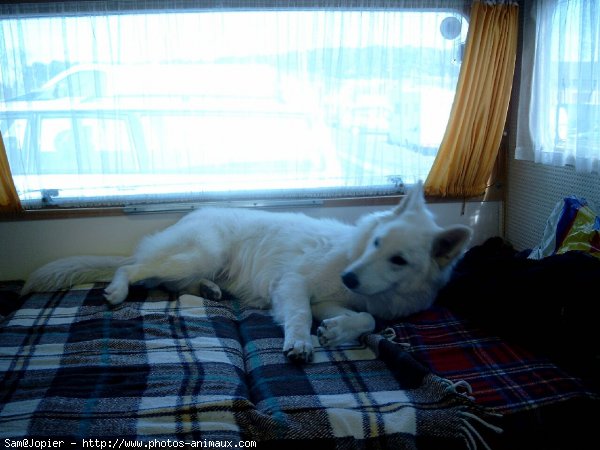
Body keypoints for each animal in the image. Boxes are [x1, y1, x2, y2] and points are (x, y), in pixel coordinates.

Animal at [22, 183, 468, 362]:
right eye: (377, 243)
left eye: (399, 259)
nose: (350, 278)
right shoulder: (294, 285)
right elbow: (300, 316)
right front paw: (301, 343)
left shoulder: (331, 299)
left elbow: (367, 318)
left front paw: (337, 331)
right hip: (198, 253)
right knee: (134, 267)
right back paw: (116, 289)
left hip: (199, 262)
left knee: (166, 281)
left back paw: (210, 290)